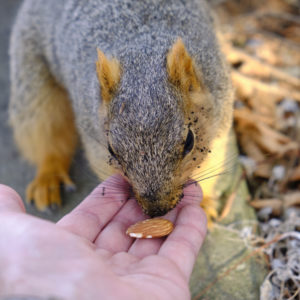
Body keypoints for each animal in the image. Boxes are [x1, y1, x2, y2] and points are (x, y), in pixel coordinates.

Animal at [9, 0, 233, 224]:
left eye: (189, 142)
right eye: (111, 149)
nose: (157, 209)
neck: (142, 51)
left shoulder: (219, 122)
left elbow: (208, 164)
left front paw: (203, 204)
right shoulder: (95, 143)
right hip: (32, 79)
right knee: (47, 136)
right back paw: (48, 178)